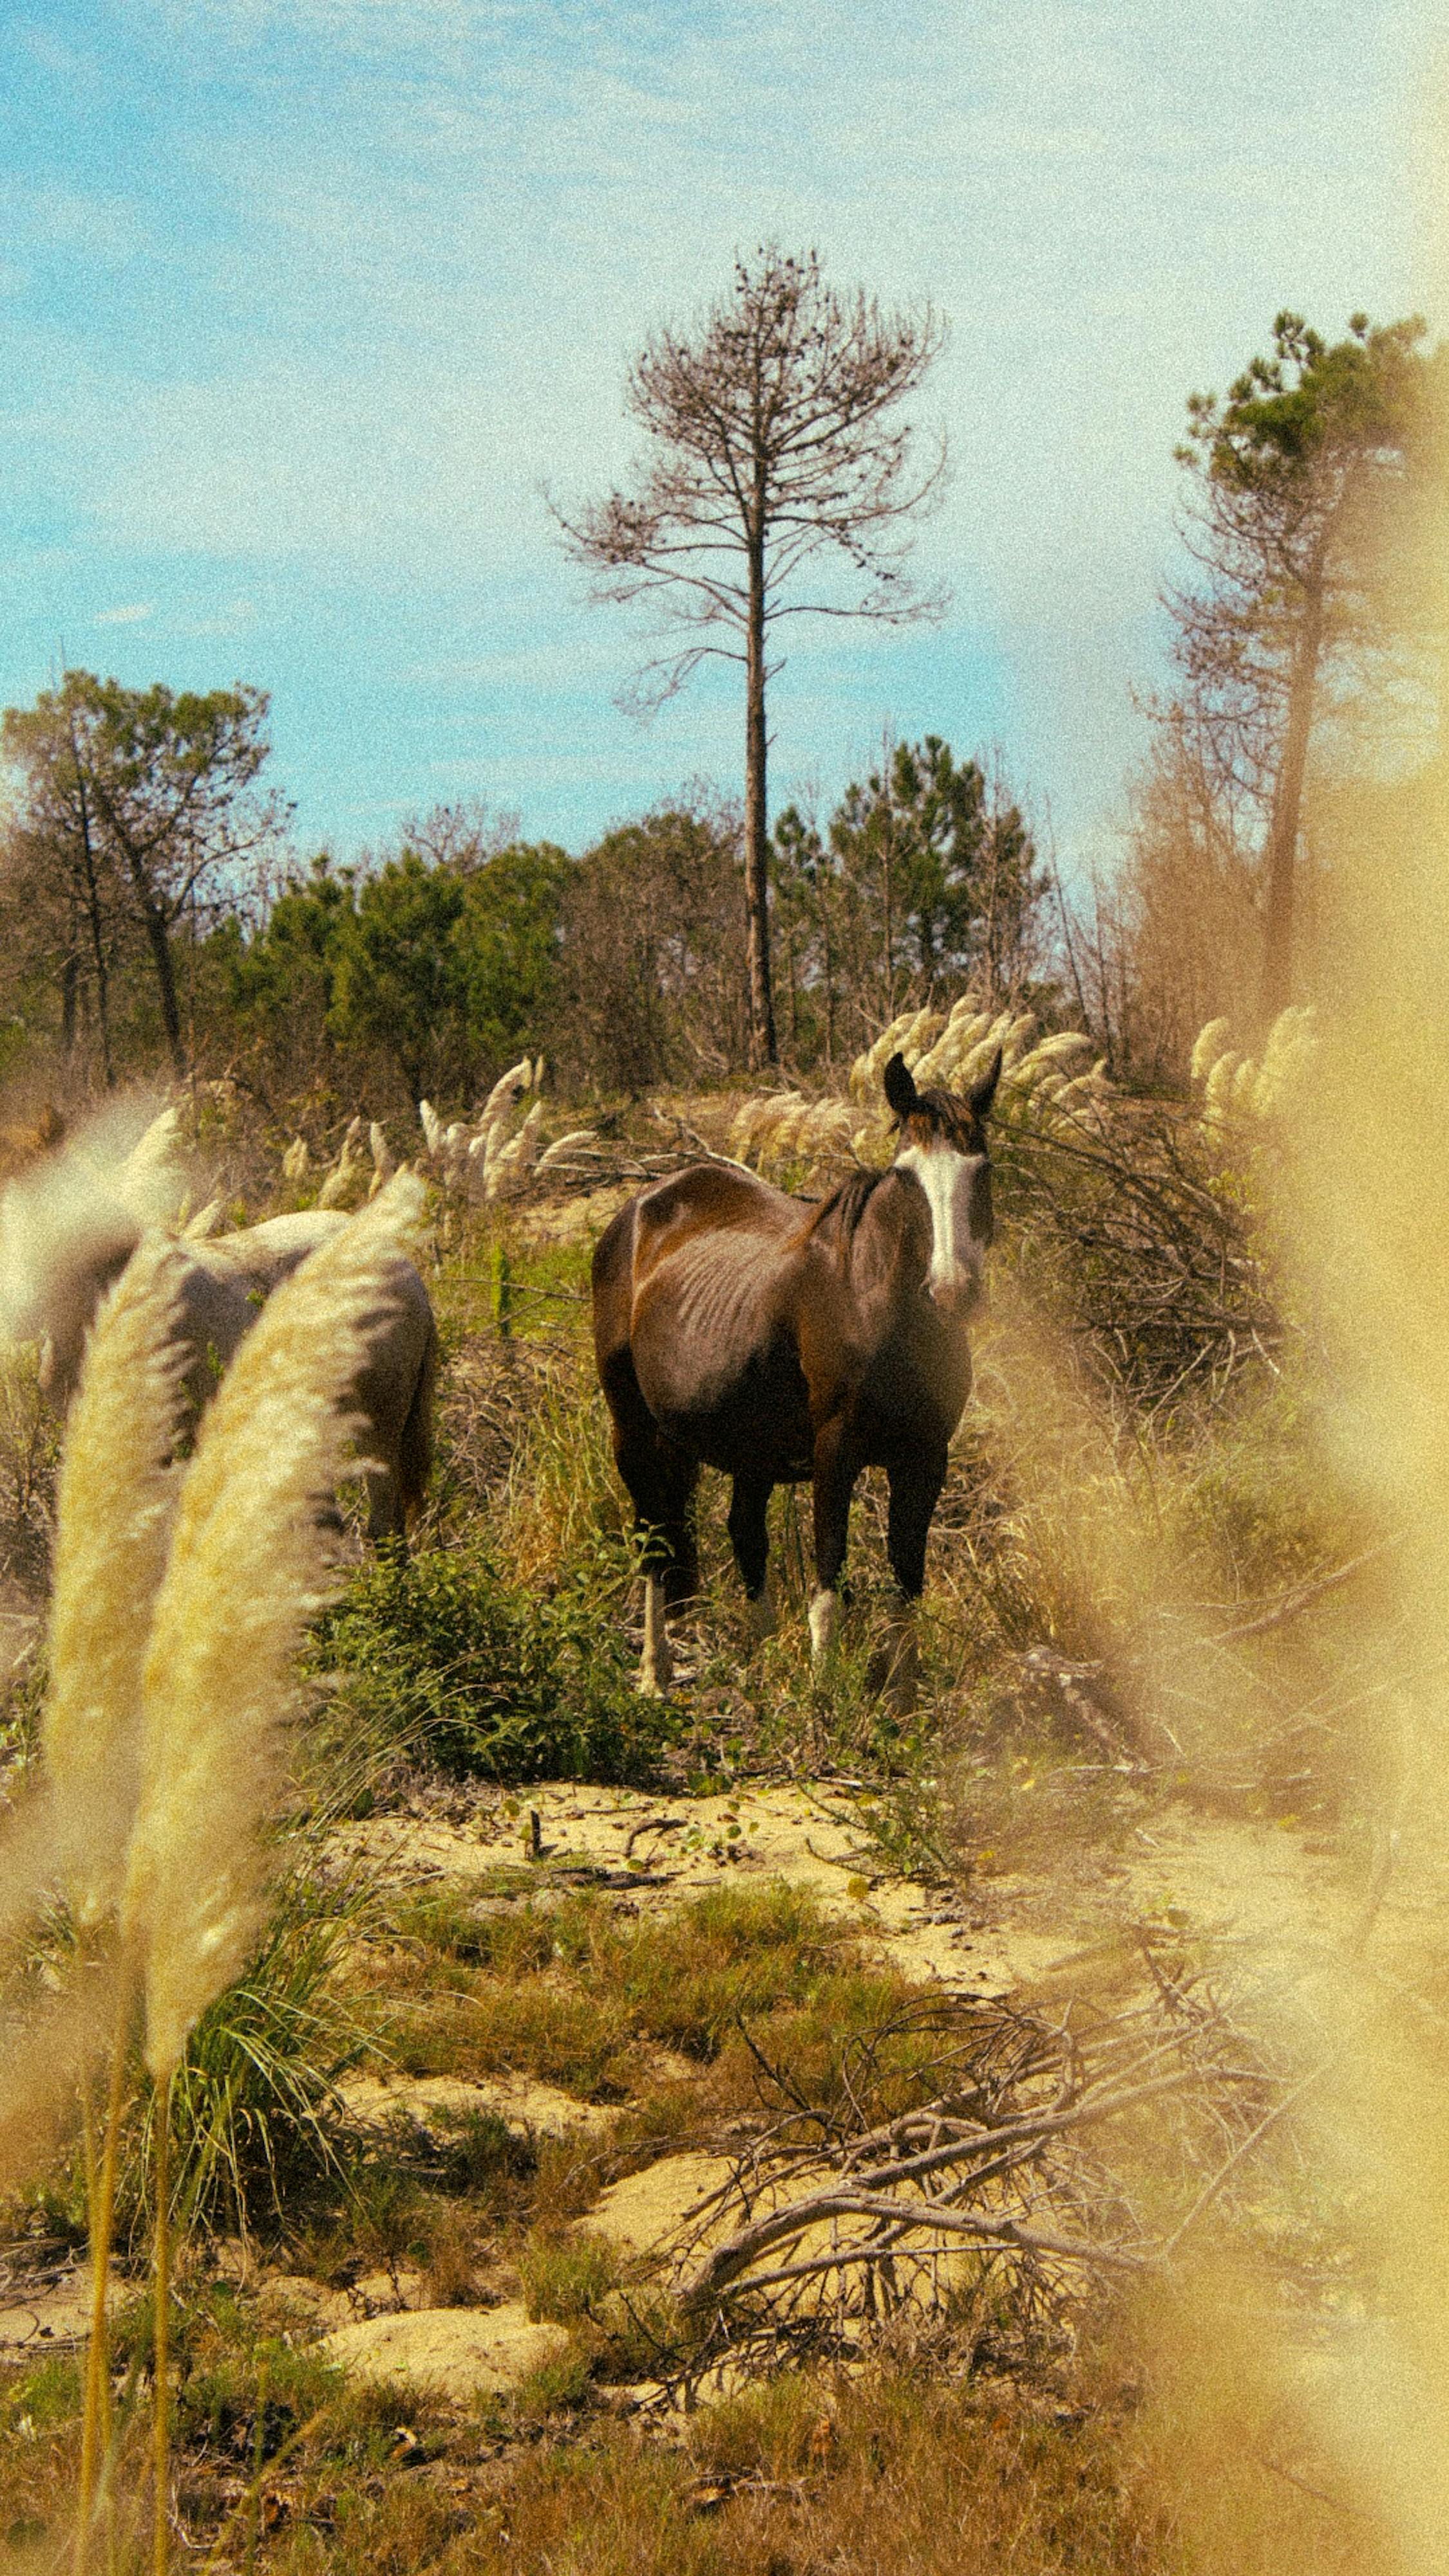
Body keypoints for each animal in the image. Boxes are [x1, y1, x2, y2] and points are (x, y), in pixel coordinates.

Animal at [587, 1046, 990, 1690]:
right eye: (906, 1177)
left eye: (982, 1170)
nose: (952, 1291)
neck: (873, 1302)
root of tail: (640, 1210)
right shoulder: (835, 1453)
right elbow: (829, 1582)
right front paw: (825, 1699)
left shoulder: (926, 1457)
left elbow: (906, 1579)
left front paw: (903, 1699)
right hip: (633, 1429)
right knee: (655, 1540)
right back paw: (654, 1672)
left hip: (747, 1447)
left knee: (743, 1534)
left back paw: (755, 1666)